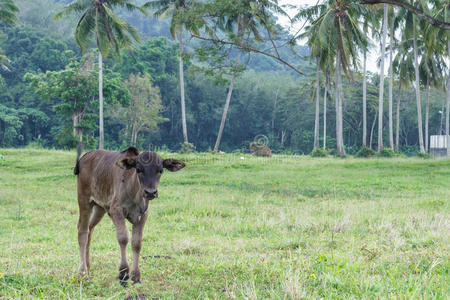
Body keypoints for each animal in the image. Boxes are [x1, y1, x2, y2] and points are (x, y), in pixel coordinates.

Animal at [74, 146, 185, 284]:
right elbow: (123, 238)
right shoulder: (116, 210)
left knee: (90, 229)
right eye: (138, 169)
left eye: (160, 170)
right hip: (84, 200)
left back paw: (88, 265)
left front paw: (136, 276)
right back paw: (82, 272)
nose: (150, 192)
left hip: (100, 207)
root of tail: (84, 157)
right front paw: (123, 273)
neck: (134, 192)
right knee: (82, 231)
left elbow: (136, 242)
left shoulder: (143, 214)